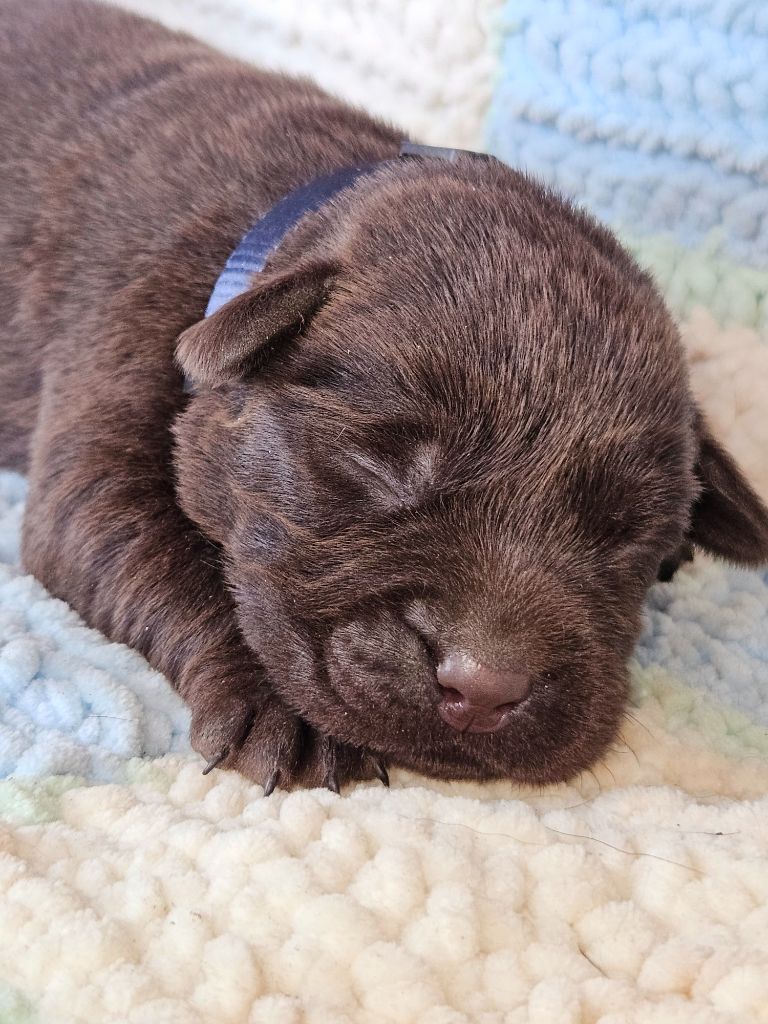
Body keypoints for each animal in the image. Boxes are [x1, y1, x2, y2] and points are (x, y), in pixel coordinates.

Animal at [2, 0, 767, 793]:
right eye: (377, 462)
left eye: (626, 534)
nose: (483, 688)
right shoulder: (113, 403)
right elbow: (175, 558)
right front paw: (294, 721)